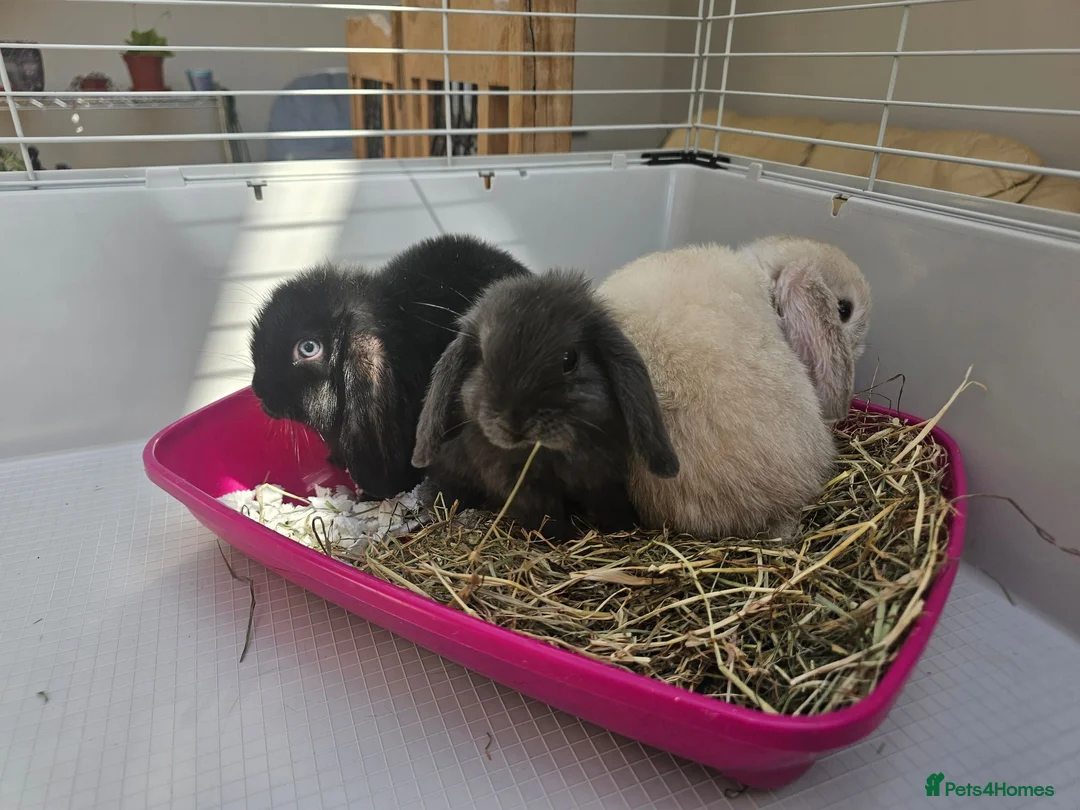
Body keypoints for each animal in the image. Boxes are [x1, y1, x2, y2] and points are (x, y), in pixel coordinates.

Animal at [411, 268, 680, 540]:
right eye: (483, 360)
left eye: (569, 359)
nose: (515, 420)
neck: (548, 453)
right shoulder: (520, 485)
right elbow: (544, 515)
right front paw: (562, 538)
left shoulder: (601, 474)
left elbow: (607, 502)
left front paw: (622, 527)